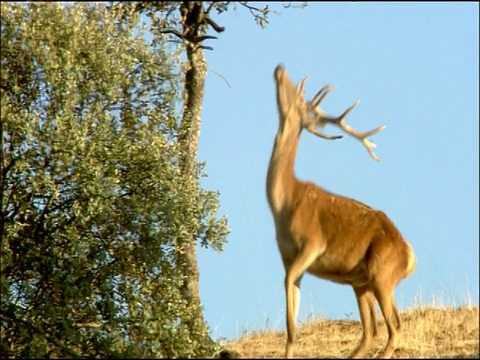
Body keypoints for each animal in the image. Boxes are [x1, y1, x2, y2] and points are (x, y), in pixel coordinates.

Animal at [266, 64, 416, 358]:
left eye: (298, 97)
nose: (280, 68)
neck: (283, 205)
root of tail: (410, 258)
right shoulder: (287, 256)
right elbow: (291, 318)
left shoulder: (312, 243)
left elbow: (290, 312)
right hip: (362, 283)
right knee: (372, 331)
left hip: (383, 274)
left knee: (394, 327)